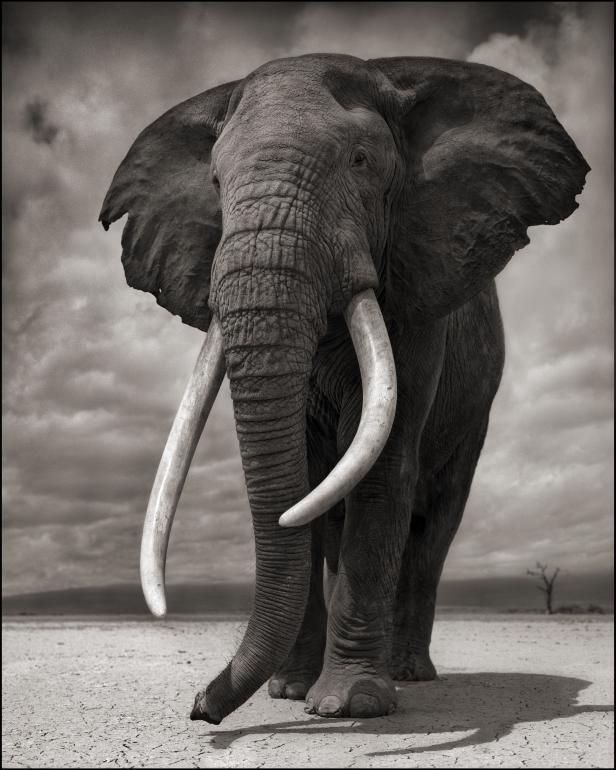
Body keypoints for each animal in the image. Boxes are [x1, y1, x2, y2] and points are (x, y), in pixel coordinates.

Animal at [100, 54, 589, 724]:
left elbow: (379, 469)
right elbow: (304, 482)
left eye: (360, 161)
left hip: (477, 411)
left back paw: (410, 673)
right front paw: (288, 692)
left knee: (434, 526)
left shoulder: (419, 291)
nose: (201, 706)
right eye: (217, 183)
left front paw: (348, 704)